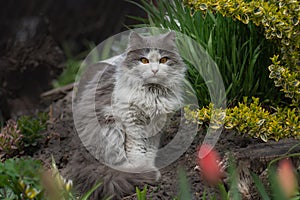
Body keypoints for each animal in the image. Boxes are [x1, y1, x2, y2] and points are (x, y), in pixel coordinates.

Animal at [69, 31, 186, 198]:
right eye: (144, 60)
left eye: (163, 60)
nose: (155, 70)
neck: (152, 93)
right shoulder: (133, 123)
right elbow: (136, 152)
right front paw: (141, 170)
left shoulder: (156, 128)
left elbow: (149, 152)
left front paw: (147, 167)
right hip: (111, 127)